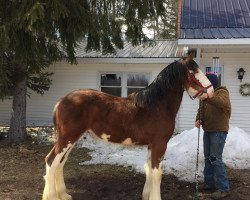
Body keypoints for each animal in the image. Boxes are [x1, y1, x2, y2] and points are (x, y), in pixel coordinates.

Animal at [42, 54, 213, 200]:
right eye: (193, 72)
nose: (211, 91)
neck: (157, 106)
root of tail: (61, 101)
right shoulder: (160, 144)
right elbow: (157, 173)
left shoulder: (152, 145)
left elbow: (149, 169)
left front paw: (146, 195)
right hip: (68, 138)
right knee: (52, 161)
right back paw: (52, 196)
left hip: (72, 138)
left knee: (60, 162)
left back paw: (63, 194)